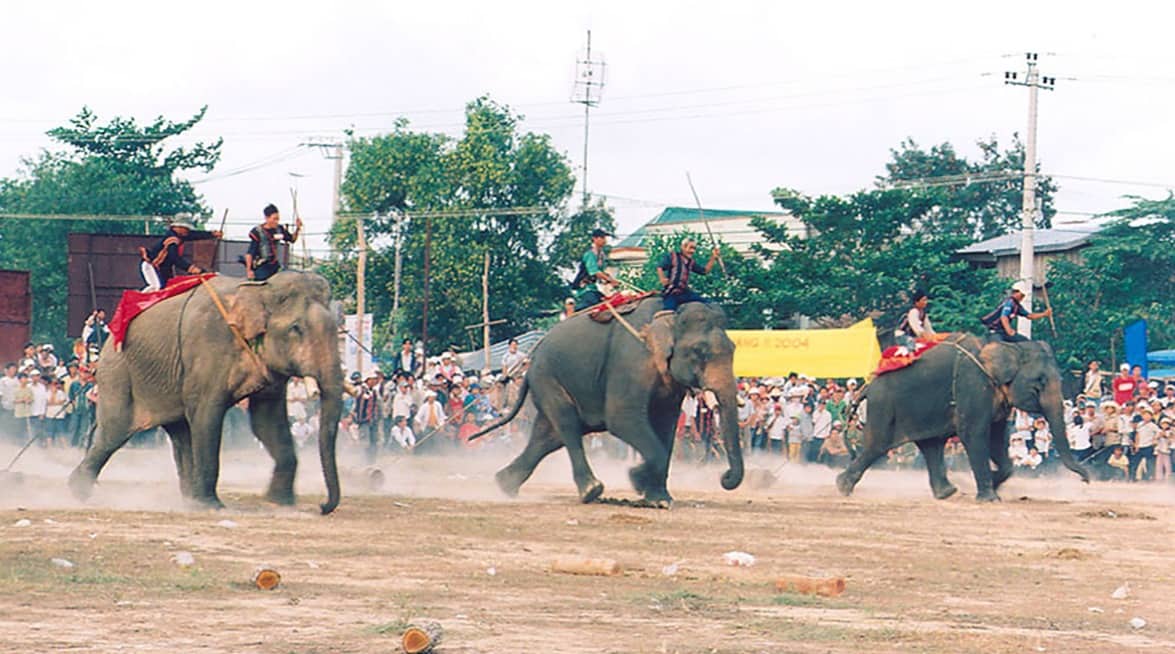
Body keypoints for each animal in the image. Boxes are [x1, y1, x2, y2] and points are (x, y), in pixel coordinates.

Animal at [68, 271, 343, 514]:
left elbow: (266, 420)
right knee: (114, 433)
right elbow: (207, 415)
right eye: (296, 328)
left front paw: (280, 503)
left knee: (179, 434)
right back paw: (77, 492)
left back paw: (188, 500)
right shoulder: (207, 345)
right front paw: (212, 506)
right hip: (117, 372)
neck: (259, 288)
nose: (322, 506)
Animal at [467, 295, 742, 504]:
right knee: (567, 425)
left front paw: (659, 500)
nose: (724, 477)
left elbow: (666, 426)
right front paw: (636, 478)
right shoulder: (630, 362)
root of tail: (529, 359)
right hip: (547, 377)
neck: (669, 317)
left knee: (548, 436)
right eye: (700, 352)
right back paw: (591, 491)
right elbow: (622, 419)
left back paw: (504, 485)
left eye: (733, 350)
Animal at [836, 333, 1090, 502]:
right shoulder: (973, 386)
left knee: (931, 446)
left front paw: (992, 482)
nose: (1086, 480)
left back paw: (948, 493)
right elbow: (975, 435)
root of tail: (869, 384)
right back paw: (842, 487)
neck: (1010, 347)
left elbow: (997, 439)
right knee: (877, 445)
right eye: (1040, 382)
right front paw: (990, 498)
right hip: (884, 406)